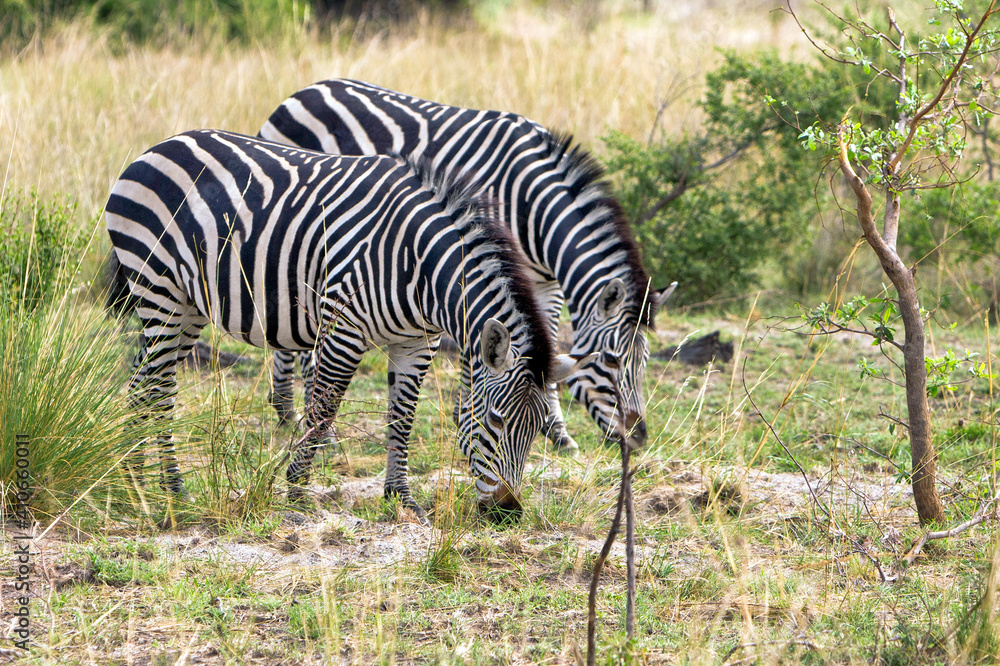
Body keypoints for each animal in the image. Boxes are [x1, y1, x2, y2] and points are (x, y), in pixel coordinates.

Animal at [105, 129, 589, 522]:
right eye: (495, 421)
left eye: (538, 430)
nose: (507, 513)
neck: (421, 266)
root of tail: (157, 147)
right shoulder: (344, 327)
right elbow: (323, 411)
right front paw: (297, 490)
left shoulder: (418, 343)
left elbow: (402, 417)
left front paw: (401, 498)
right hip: (160, 290)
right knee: (159, 390)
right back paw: (168, 488)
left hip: (186, 306)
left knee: (143, 385)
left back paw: (136, 480)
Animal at [260, 79, 676, 453]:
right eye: (612, 360)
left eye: (645, 361)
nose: (637, 439)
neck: (533, 206)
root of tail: (303, 91)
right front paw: (471, 417)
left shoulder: (544, 282)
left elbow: (548, 344)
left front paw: (557, 432)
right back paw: (301, 418)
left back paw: (288, 412)